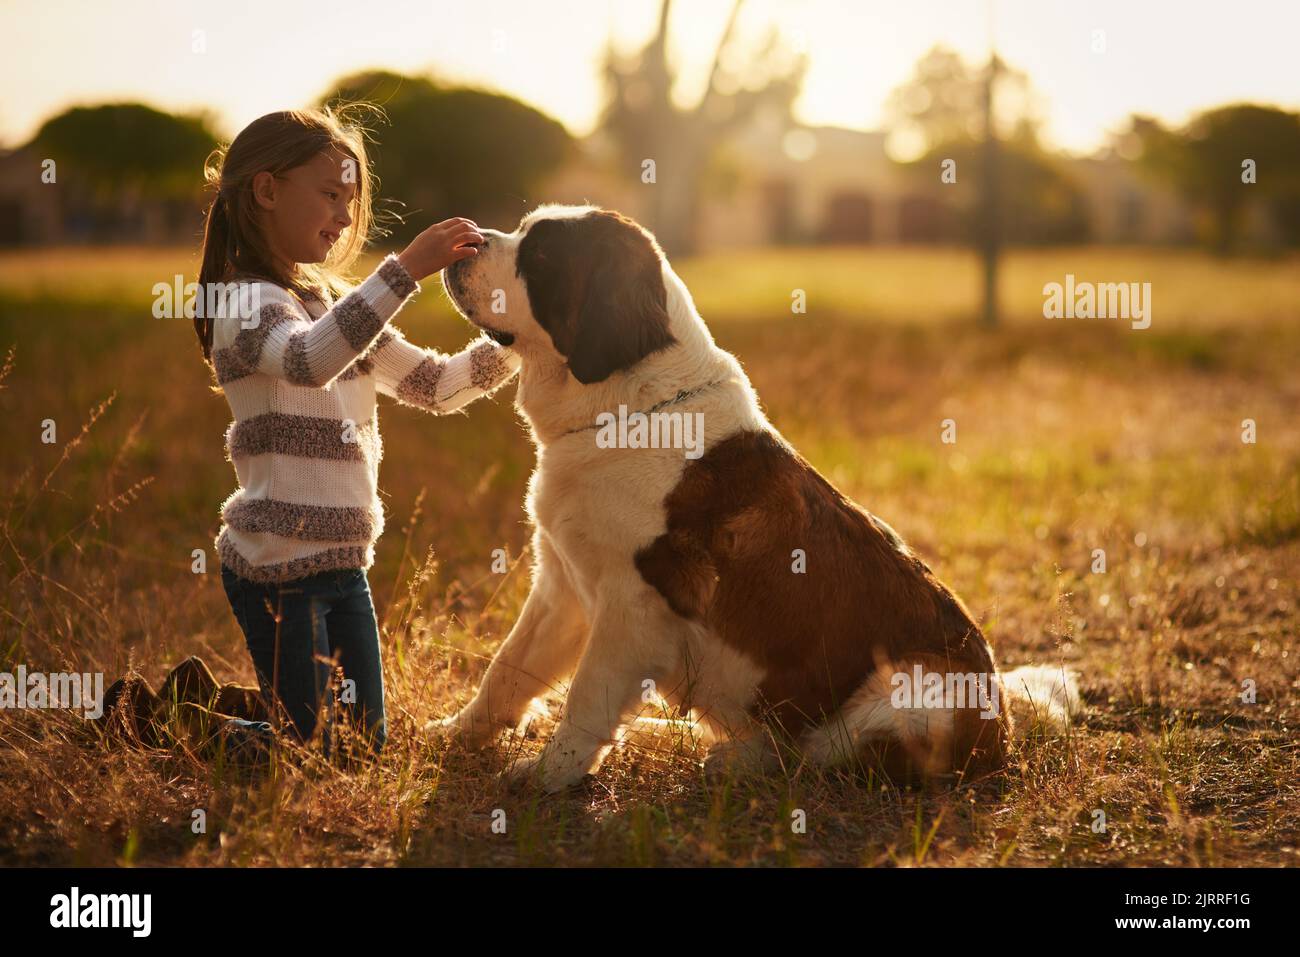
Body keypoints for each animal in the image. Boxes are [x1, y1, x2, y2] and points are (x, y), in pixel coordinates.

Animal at [426, 204, 1076, 790]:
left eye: (539, 258)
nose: (466, 238)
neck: (626, 406)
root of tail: (1003, 729)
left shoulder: (633, 605)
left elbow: (587, 697)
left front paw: (548, 777)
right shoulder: (563, 585)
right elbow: (509, 668)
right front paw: (456, 733)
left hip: (917, 691)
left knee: (815, 752)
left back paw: (728, 759)